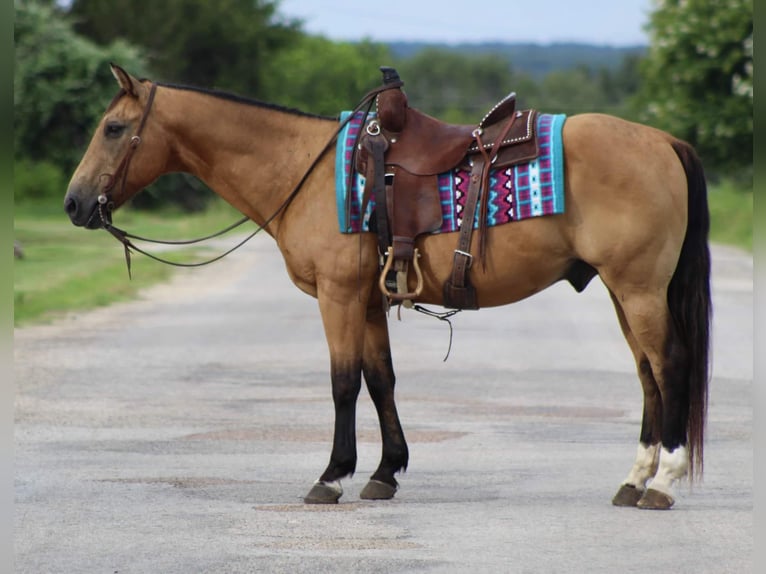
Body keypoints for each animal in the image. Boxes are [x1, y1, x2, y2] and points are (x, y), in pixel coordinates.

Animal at [64, 64, 711, 510]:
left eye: (114, 128)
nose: (74, 203)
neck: (306, 171)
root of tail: (664, 141)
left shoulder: (339, 296)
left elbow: (343, 383)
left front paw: (331, 476)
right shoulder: (370, 299)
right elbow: (380, 381)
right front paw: (383, 473)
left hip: (639, 288)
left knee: (671, 363)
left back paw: (664, 480)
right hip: (623, 291)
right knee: (648, 373)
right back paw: (634, 479)